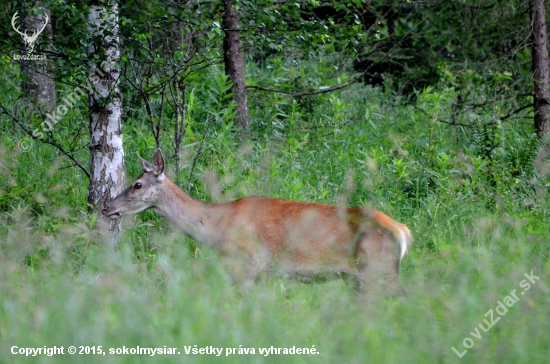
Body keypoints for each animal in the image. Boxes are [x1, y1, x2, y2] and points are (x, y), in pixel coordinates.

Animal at [103, 149, 414, 294]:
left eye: (137, 185)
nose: (107, 208)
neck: (215, 226)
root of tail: (402, 231)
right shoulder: (263, 274)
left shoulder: (243, 264)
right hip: (359, 279)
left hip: (379, 270)